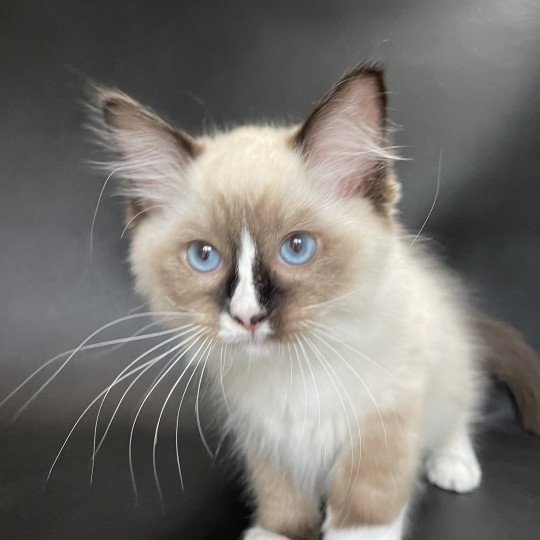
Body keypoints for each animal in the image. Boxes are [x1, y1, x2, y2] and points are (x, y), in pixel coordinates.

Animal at [93, 65, 540, 536]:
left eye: (297, 248)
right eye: (204, 256)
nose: (248, 316)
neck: (295, 371)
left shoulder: (384, 419)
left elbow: (367, 502)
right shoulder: (265, 435)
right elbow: (282, 497)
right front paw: (277, 533)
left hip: (447, 371)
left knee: (458, 416)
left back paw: (455, 467)